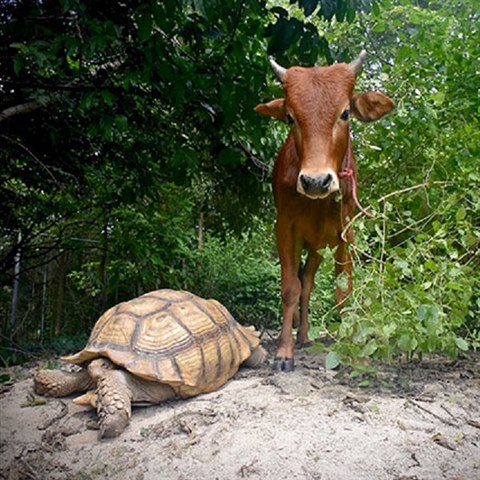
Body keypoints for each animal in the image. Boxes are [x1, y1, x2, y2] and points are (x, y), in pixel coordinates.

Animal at [255, 50, 394, 372]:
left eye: (345, 113)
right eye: (290, 117)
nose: (316, 181)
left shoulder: (347, 232)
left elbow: (343, 292)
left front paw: (350, 347)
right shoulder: (285, 228)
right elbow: (289, 288)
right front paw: (284, 351)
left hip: (320, 246)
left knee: (308, 281)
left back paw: (306, 336)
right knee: (302, 284)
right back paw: (300, 335)